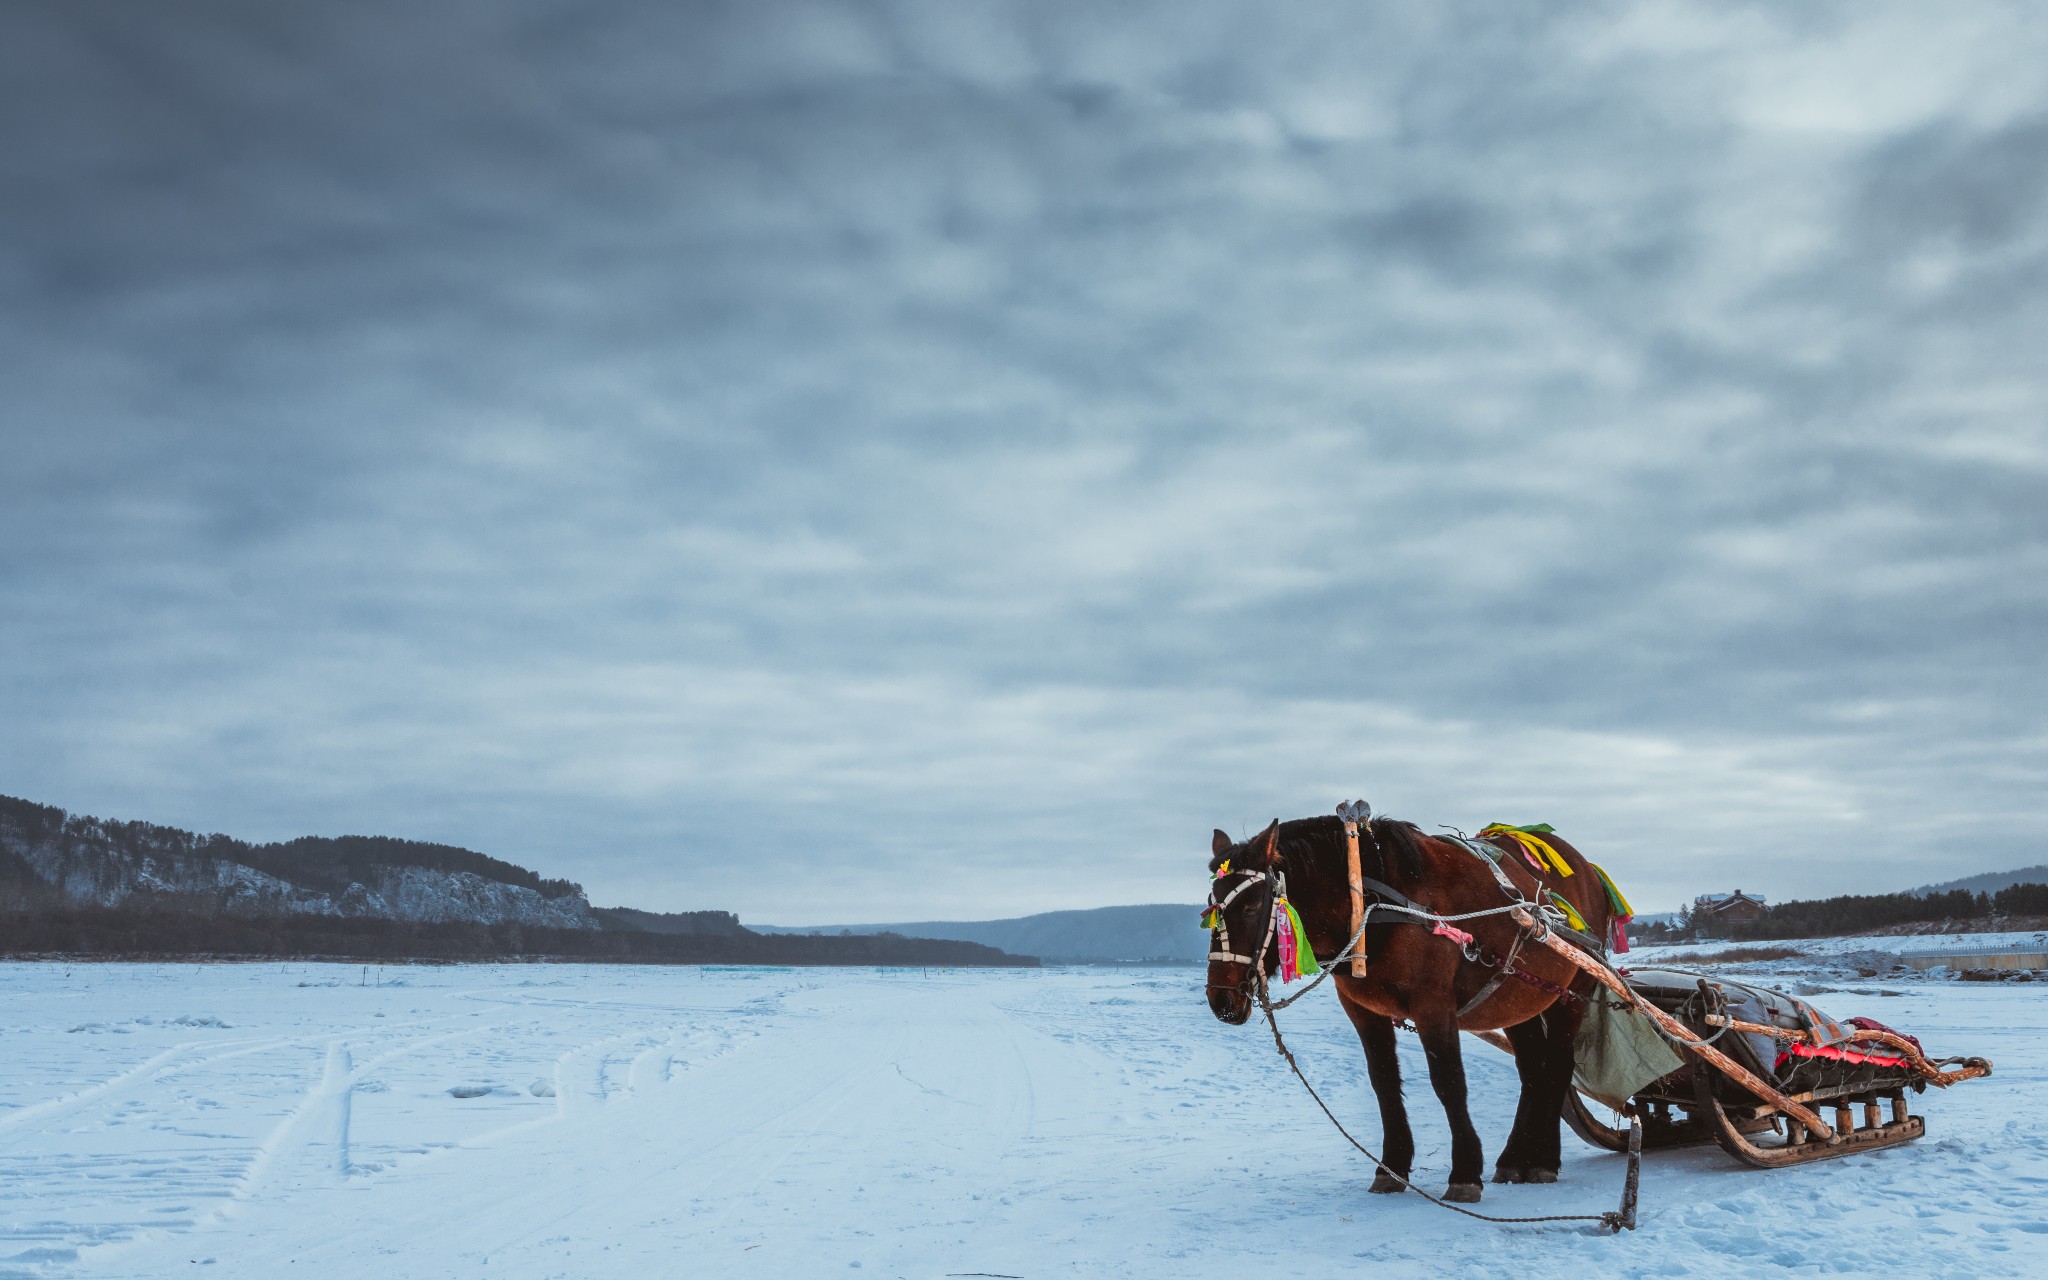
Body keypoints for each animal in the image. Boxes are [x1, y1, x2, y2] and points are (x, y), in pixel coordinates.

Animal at [1196, 815, 1613, 1204]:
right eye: (1212, 909)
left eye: (1252, 905)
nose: (1221, 999)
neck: (1369, 898)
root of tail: (1588, 868)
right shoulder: (1362, 1009)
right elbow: (1383, 1083)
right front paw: (1392, 1167)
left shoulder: (1433, 1005)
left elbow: (1448, 1083)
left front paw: (1465, 1172)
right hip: (1516, 1000)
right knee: (1532, 1070)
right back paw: (1516, 1159)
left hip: (1572, 991)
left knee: (1556, 1066)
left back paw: (1544, 1160)